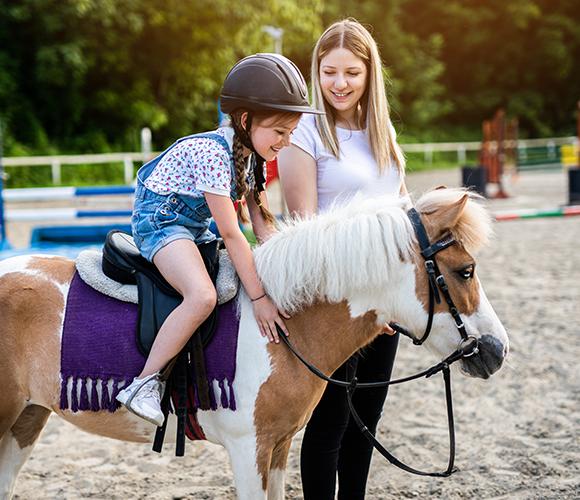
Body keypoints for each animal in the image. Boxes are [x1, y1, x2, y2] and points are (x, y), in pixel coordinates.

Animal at [0, 188, 508, 500]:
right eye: (465, 271)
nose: (498, 350)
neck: (285, 326)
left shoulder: (279, 447)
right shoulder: (249, 450)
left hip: (26, 419)